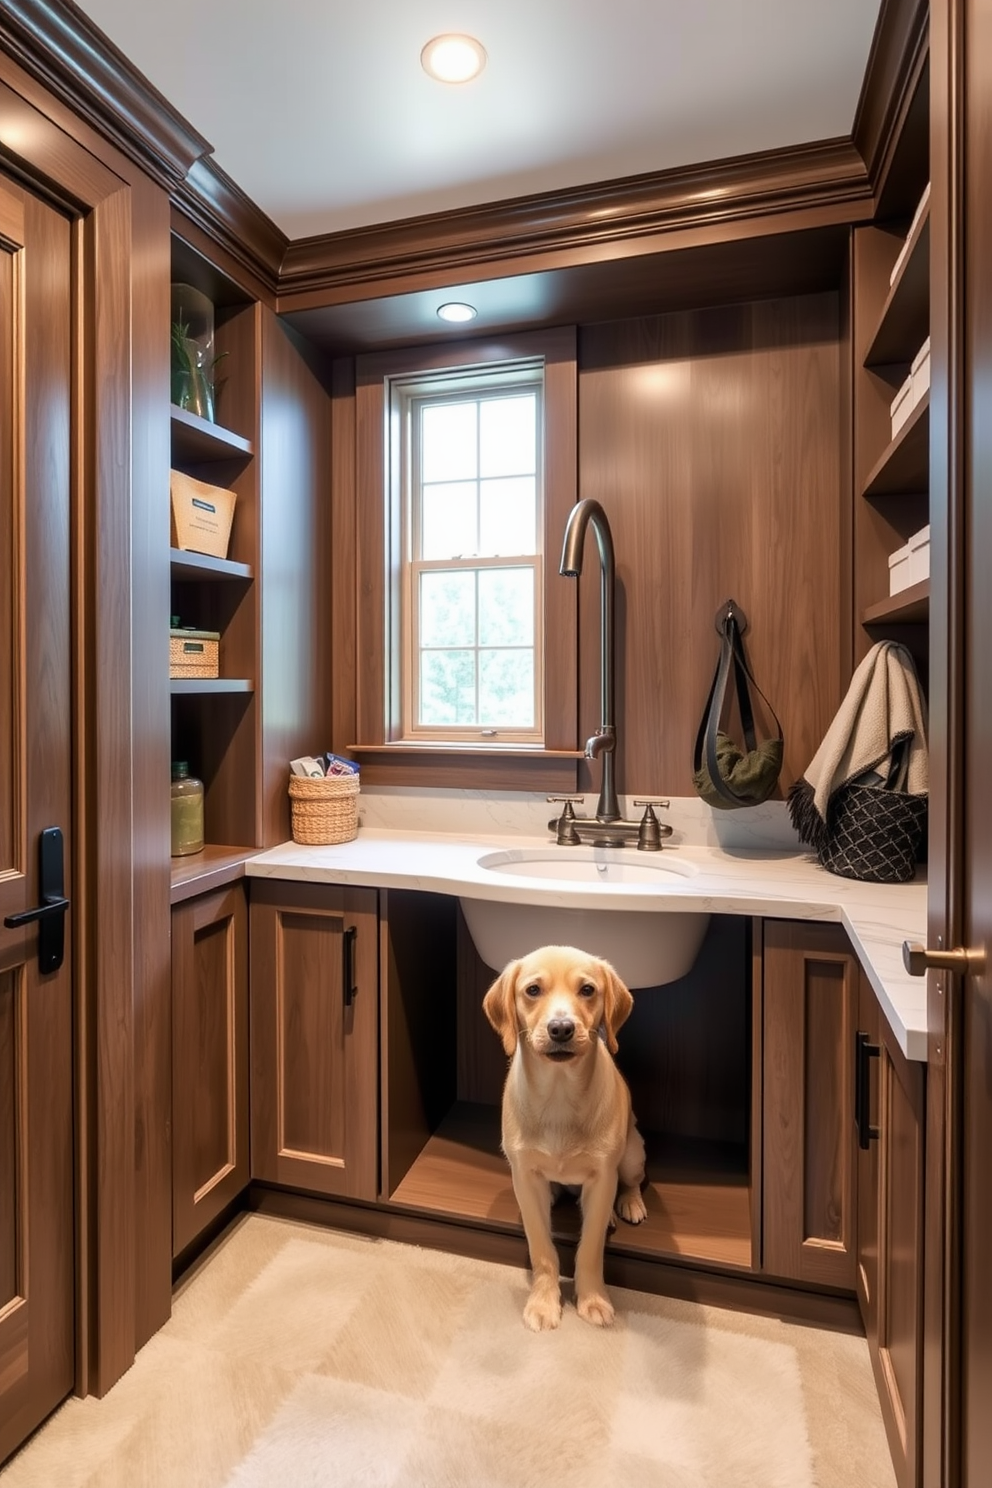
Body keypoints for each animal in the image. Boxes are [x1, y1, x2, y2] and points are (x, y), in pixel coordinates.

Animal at [481, 946, 651, 1333]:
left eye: (587, 990)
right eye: (532, 990)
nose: (561, 1028)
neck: (559, 1094)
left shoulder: (602, 1177)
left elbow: (589, 1250)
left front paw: (593, 1300)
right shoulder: (525, 1176)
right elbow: (543, 1250)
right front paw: (544, 1303)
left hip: (632, 1153)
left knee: (630, 1181)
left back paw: (627, 1205)